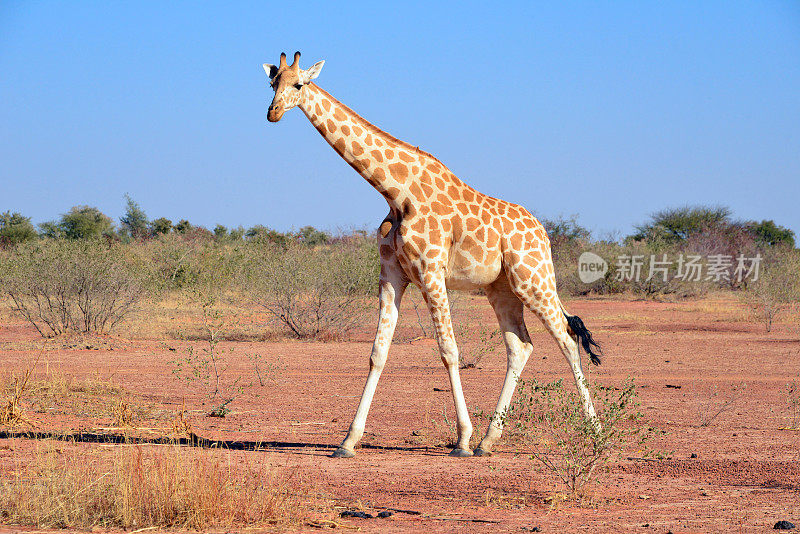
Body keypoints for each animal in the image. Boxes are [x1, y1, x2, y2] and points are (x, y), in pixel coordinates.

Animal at [262, 52, 600, 458]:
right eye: (272, 82)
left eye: (299, 84)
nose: (273, 113)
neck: (395, 191)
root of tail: (544, 234)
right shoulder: (392, 274)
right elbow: (377, 353)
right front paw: (348, 441)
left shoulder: (431, 271)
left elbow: (449, 350)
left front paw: (462, 439)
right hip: (502, 289)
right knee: (521, 346)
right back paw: (490, 440)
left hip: (534, 280)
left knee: (566, 339)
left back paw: (595, 432)